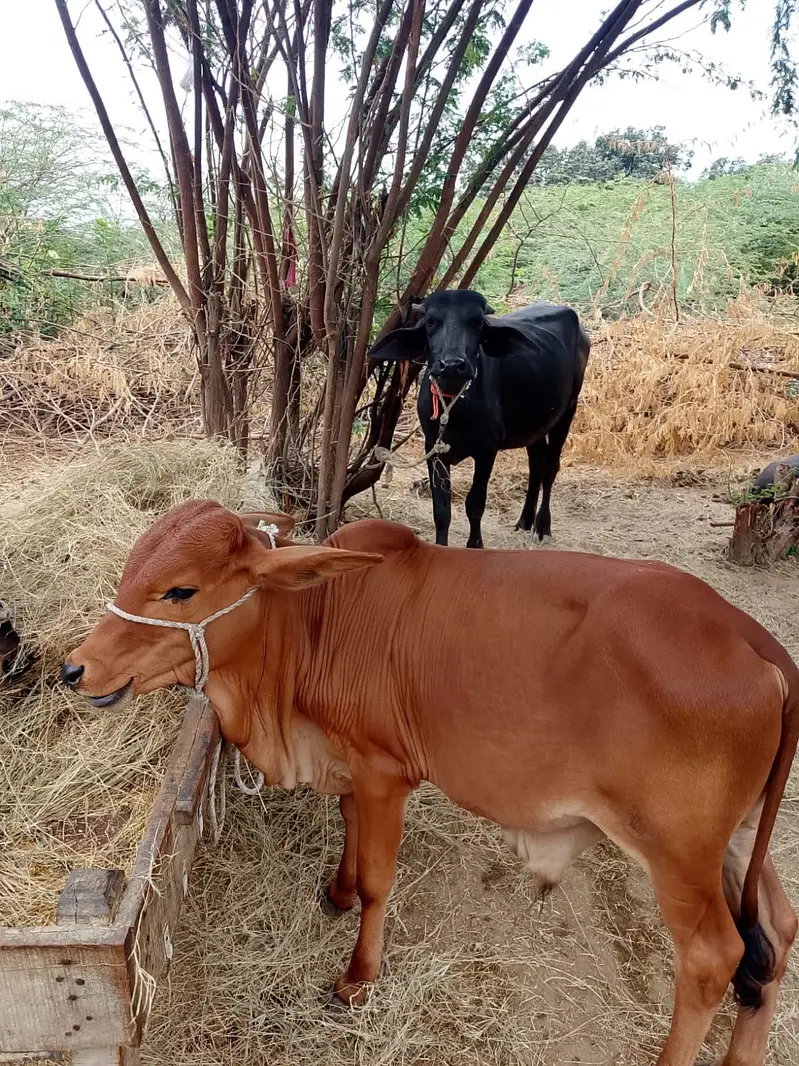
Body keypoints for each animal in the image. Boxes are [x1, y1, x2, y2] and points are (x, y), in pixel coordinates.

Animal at [62, 501, 799, 1066]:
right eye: (130, 573)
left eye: (180, 590)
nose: (75, 669)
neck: (316, 620)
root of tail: (757, 643)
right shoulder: (351, 763)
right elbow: (348, 824)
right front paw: (335, 891)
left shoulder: (386, 772)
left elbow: (378, 880)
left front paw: (358, 977)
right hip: (733, 841)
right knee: (778, 929)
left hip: (676, 853)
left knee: (713, 957)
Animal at [368, 289, 590, 547]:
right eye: (431, 322)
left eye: (476, 322)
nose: (451, 365)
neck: (456, 408)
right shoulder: (434, 447)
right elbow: (441, 509)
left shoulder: (487, 450)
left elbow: (474, 504)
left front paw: (475, 544)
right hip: (534, 423)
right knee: (536, 462)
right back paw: (525, 520)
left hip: (568, 409)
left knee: (550, 467)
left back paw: (541, 526)